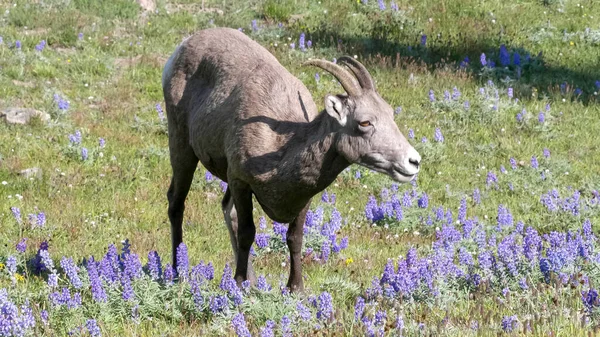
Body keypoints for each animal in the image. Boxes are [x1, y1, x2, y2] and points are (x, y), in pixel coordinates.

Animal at [162, 28, 420, 292]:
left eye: (390, 113)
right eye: (365, 122)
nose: (413, 162)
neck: (280, 149)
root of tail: (185, 45)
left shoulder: (303, 199)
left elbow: (294, 238)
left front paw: (295, 288)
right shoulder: (240, 183)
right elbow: (247, 233)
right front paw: (239, 284)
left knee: (225, 209)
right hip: (182, 148)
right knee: (176, 203)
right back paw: (176, 271)